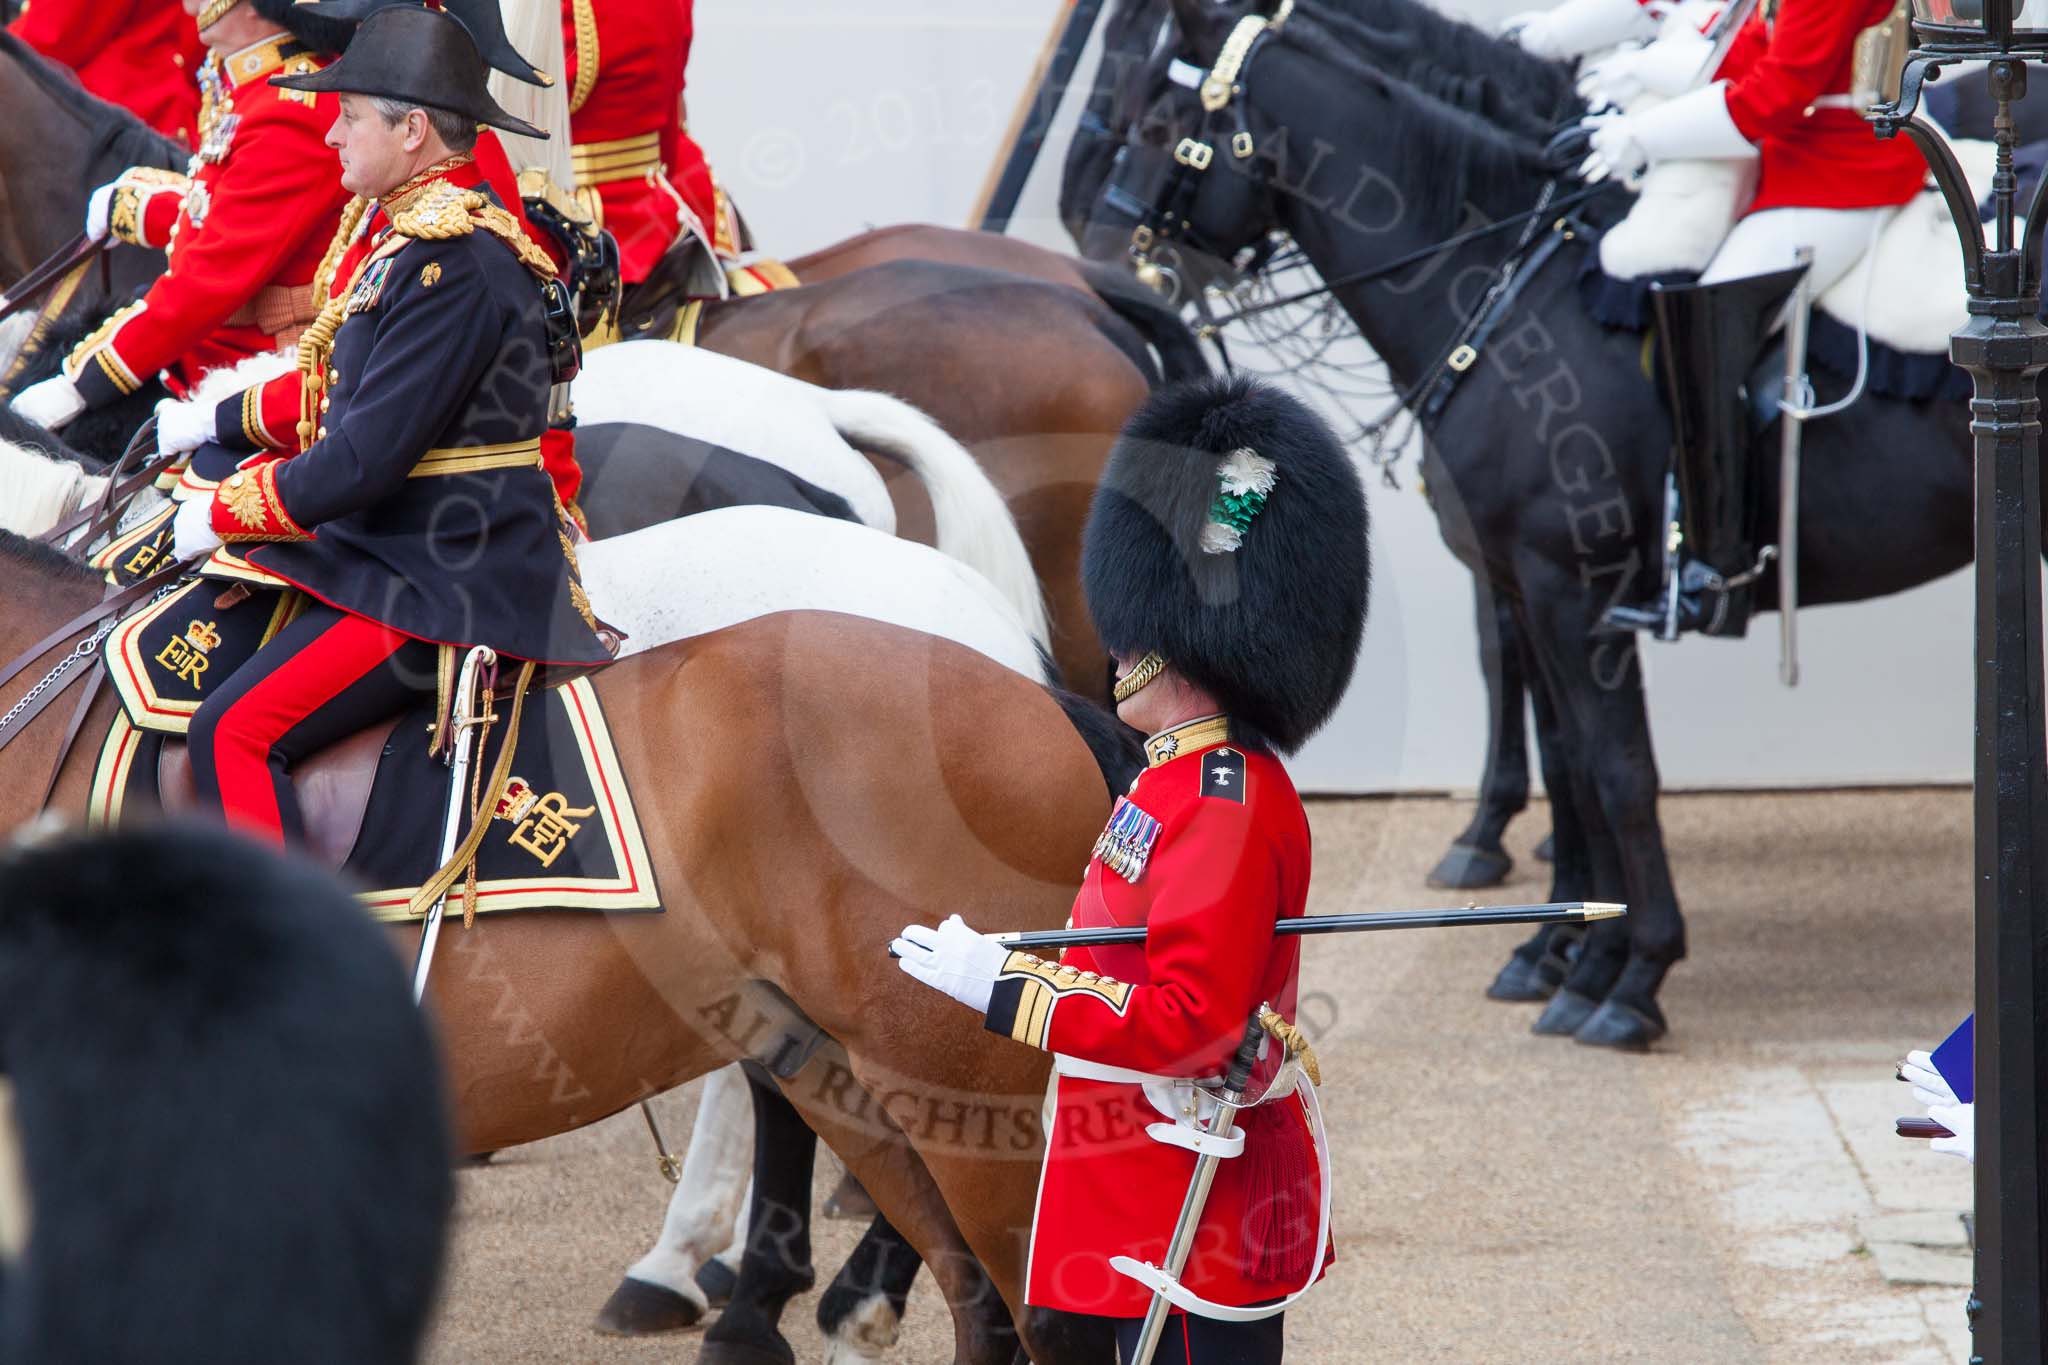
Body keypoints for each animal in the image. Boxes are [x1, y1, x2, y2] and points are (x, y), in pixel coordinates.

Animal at [1081, 0, 1990, 1055]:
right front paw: (1561, 946)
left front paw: (1630, 974)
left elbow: (1617, 768)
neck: (1505, 293)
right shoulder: (1524, 584)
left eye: (1155, 121)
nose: (1099, 269)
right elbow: (1571, 761)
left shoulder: (1572, 593)